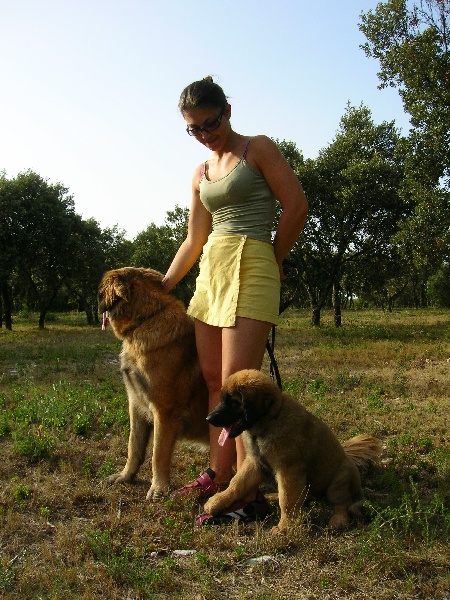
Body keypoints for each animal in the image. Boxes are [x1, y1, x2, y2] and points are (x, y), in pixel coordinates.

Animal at [98, 267, 209, 500]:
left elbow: (158, 453)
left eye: (100, 290)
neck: (147, 318)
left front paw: (158, 488)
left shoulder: (164, 412)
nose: (96, 300)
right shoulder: (136, 405)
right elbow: (134, 446)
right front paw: (126, 476)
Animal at [204, 369, 382, 532]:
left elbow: (287, 499)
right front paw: (218, 500)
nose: (208, 419)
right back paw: (273, 496)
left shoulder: (288, 469)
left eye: (233, 402)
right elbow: (237, 483)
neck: (269, 421)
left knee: (343, 503)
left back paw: (338, 520)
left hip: (338, 482)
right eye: (222, 400)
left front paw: (284, 526)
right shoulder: (255, 462)